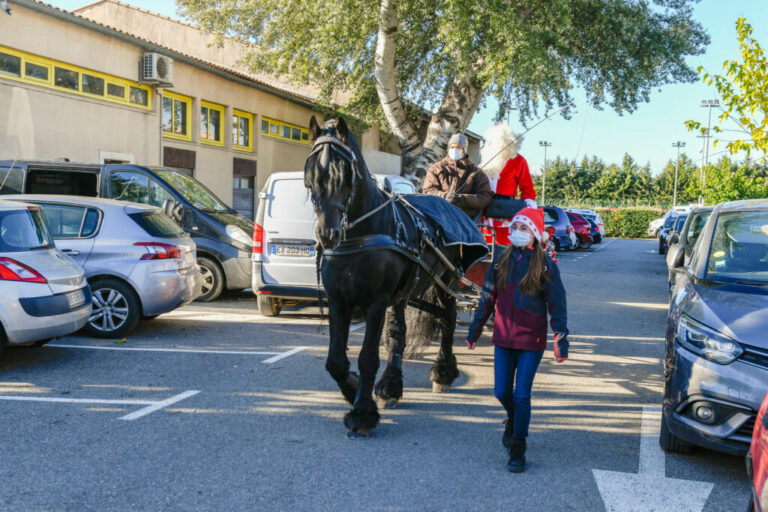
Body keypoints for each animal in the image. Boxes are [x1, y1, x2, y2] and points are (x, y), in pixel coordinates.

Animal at [304, 118, 484, 438]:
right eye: (310, 172)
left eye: (344, 173)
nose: (328, 234)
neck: (360, 234)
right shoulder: (339, 301)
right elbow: (336, 361)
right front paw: (353, 389)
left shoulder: (375, 303)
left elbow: (367, 358)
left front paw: (362, 414)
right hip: (402, 293)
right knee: (398, 333)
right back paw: (390, 385)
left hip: (447, 282)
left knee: (447, 321)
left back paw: (443, 372)